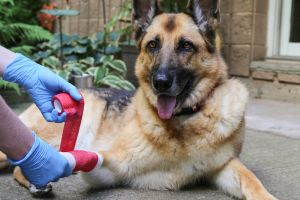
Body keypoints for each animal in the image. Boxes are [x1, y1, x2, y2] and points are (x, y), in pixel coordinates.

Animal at [0, 0, 276, 198]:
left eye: (186, 46)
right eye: (153, 45)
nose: (160, 82)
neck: (183, 121)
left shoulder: (225, 165)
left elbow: (252, 181)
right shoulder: (111, 165)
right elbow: (91, 160)